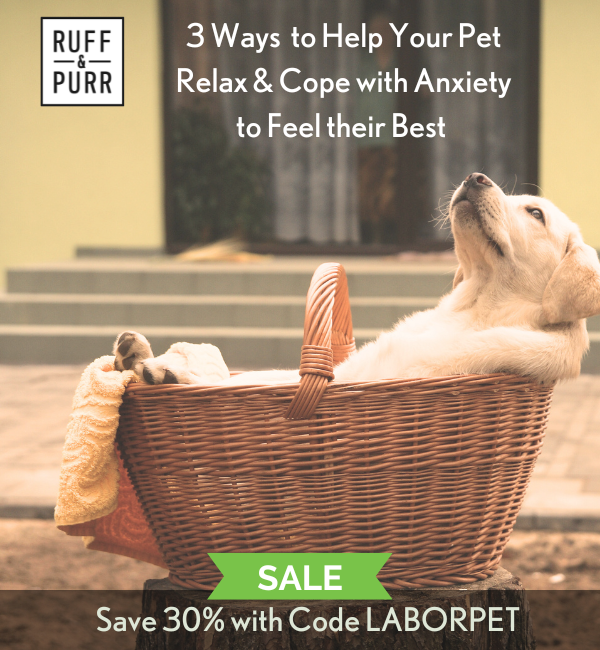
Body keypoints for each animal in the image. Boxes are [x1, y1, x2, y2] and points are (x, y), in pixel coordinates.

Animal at [113, 172, 600, 384]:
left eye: (535, 213)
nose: (475, 176)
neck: (473, 308)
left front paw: (172, 368)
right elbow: (242, 373)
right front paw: (145, 356)